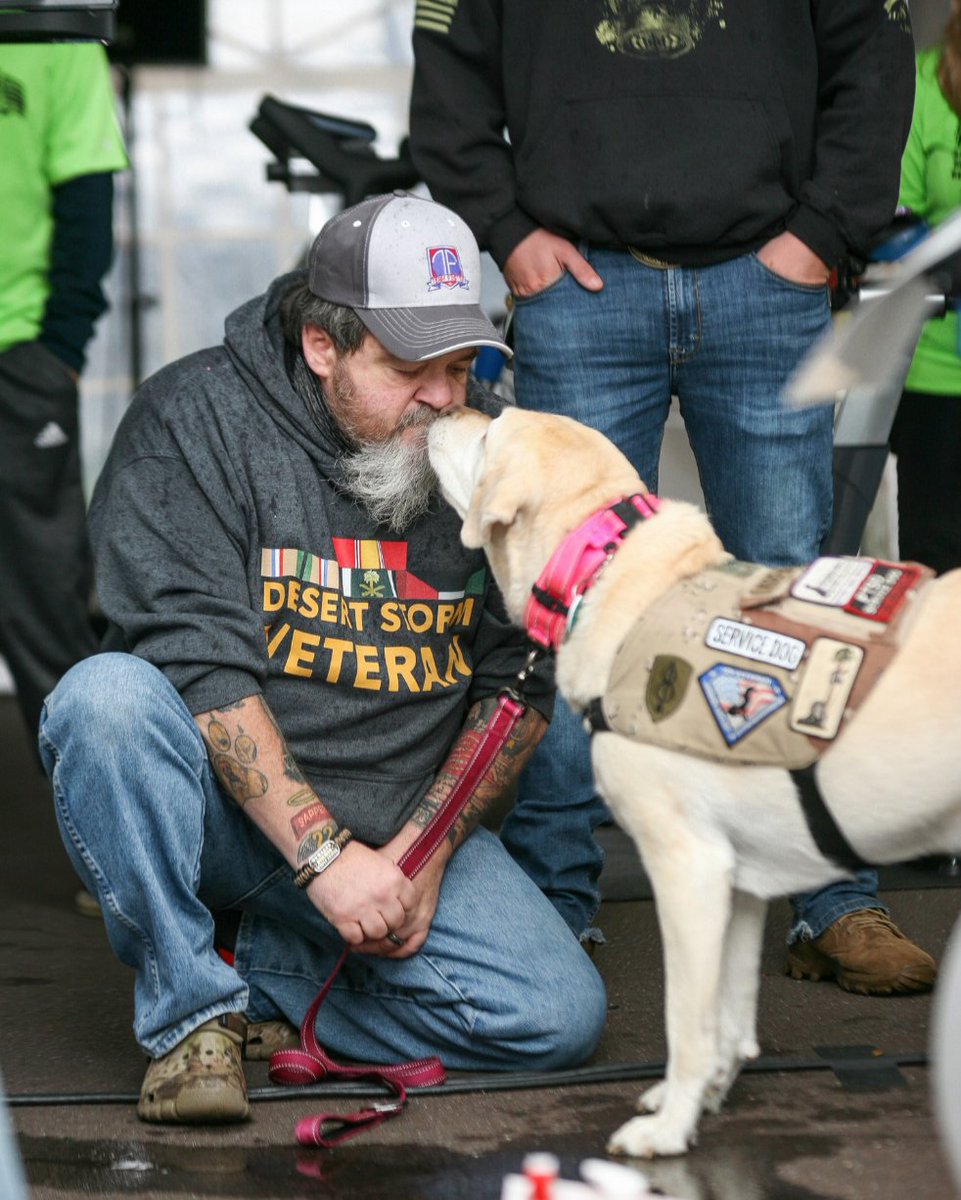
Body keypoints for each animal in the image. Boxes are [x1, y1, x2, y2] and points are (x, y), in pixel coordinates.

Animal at [431, 405, 959, 1161]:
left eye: (487, 431)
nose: (445, 406)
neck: (607, 569)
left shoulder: (687, 866)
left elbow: (687, 1019)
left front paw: (670, 1127)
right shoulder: (740, 880)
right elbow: (728, 1016)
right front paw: (706, 1095)